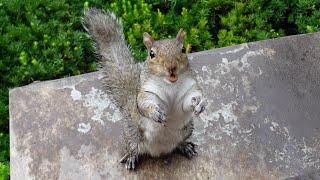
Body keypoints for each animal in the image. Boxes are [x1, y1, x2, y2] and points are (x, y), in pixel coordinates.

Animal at [84, 7, 206, 170]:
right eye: (151, 54)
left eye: (183, 50)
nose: (171, 67)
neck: (171, 85)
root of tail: (160, 150)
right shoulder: (146, 92)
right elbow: (144, 104)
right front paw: (154, 112)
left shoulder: (189, 88)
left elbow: (188, 101)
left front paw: (199, 104)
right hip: (132, 133)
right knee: (132, 148)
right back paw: (130, 158)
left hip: (187, 129)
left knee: (179, 142)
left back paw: (185, 146)